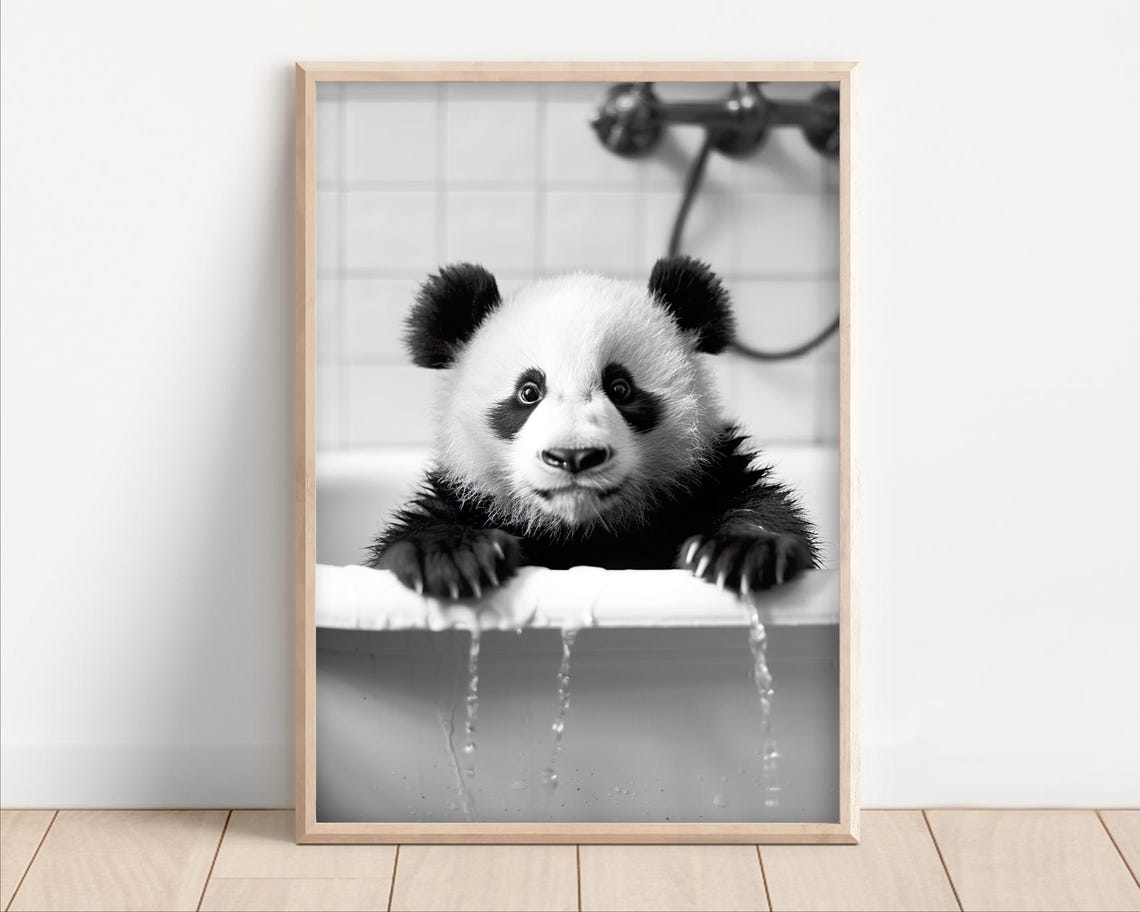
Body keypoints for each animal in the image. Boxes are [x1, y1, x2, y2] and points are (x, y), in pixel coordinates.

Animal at [367, 255, 819, 599]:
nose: (574, 456)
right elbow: (421, 529)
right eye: (528, 392)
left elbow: (760, 506)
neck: (585, 532)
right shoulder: (467, 496)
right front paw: (450, 558)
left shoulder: (705, 478)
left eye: (620, 387)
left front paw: (741, 552)